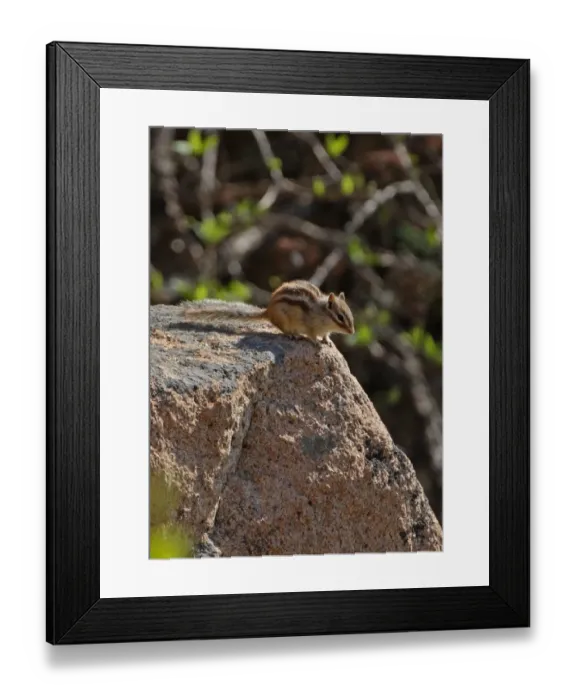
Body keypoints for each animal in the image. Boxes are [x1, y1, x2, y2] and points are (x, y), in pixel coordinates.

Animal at [181, 279, 355, 344]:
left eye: (350, 316)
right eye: (340, 317)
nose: (352, 332)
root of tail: (268, 311)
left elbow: (325, 335)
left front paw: (327, 341)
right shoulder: (310, 326)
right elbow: (312, 336)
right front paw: (316, 342)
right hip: (284, 319)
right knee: (283, 329)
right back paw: (293, 335)